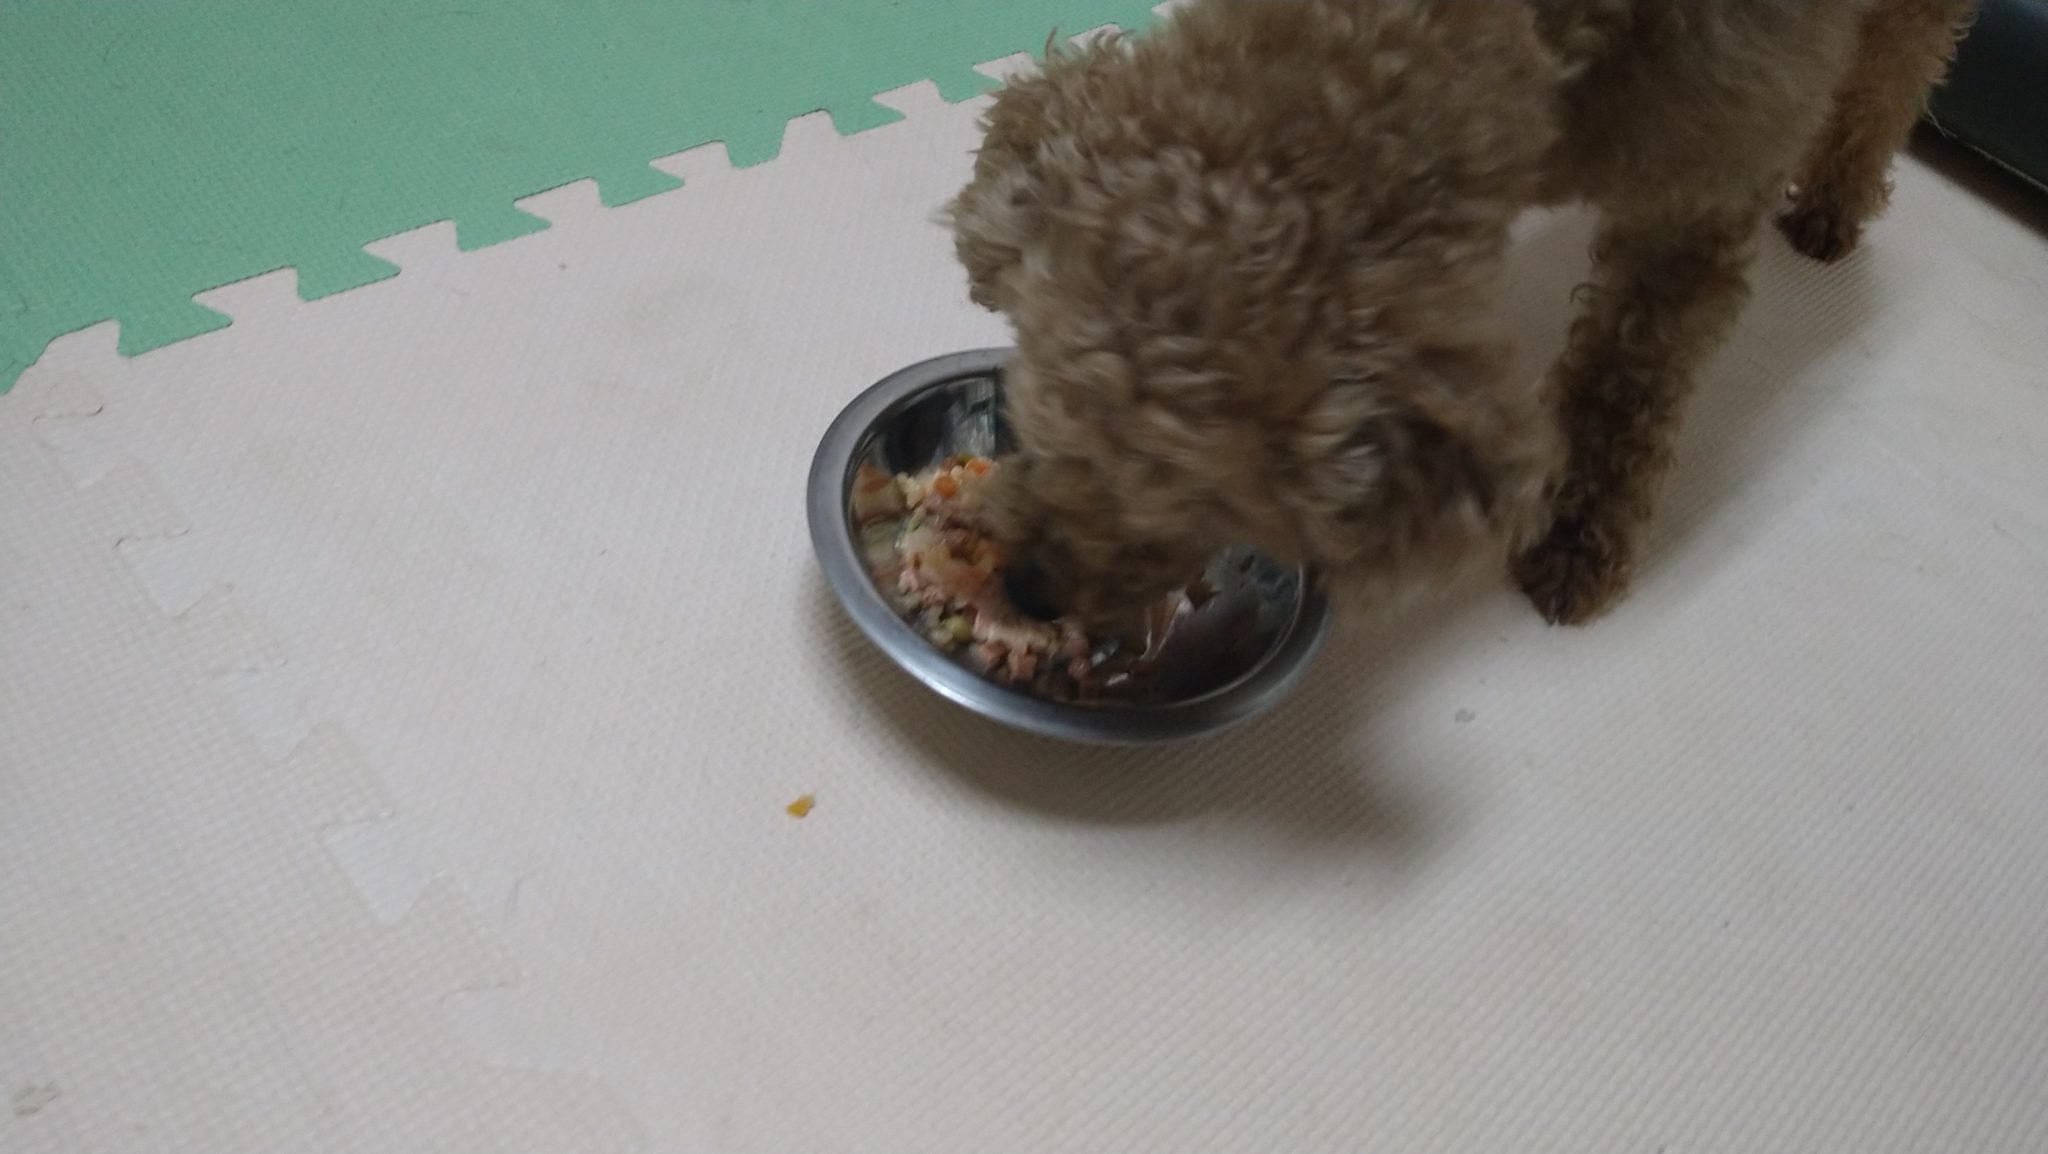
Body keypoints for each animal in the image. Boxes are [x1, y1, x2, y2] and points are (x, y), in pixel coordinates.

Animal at [948, 0, 1973, 627]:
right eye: (1039, 429)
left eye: (1194, 502)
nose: (1029, 590)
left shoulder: (1705, 187)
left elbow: (1628, 378)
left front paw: (1576, 535)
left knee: (1896, 73)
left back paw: (1835, 202)